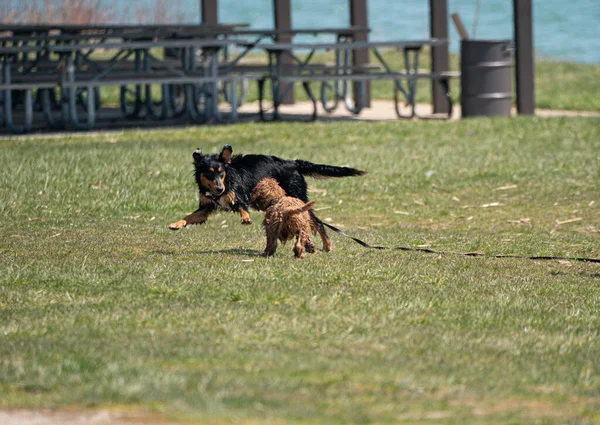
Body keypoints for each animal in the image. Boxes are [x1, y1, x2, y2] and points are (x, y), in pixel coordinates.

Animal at [168, 144, 366, 250]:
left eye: (221, 173)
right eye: (209, 174)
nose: (219, 187)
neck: (228, 178)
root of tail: (293, 163)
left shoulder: (239, 195)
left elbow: (241, 206)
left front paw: (246, 218)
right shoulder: (206, 207)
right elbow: (190, 216)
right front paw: (176, 224)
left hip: (297, 196)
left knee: (316, 221)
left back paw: (327, 245)